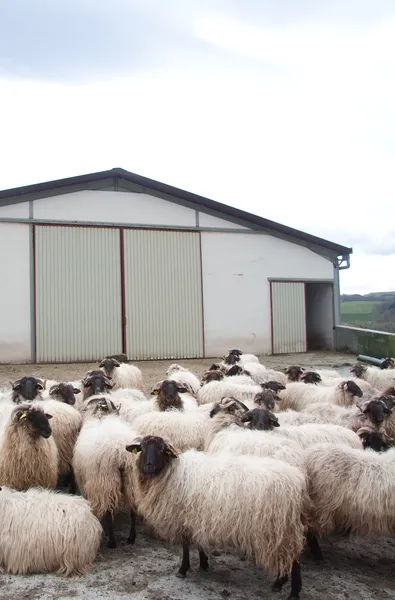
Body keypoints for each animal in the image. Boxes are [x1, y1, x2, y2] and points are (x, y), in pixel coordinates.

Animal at [72, 404, 138, 548]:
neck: (100, 417)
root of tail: (120, 454)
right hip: (132, 481)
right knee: (133, 509)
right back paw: (131, 537)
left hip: (105, 482)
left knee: (108, 510)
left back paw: (111, 540)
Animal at [125, 434, 308, 596]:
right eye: (142, 448)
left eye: (161, 450)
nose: (148, 467)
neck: (173, 473)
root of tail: (297, 482)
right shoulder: (197, 518)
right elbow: (198, 541)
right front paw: (203, 563)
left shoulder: (183, 517)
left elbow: (185, 545)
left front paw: (183, 569)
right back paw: (281, 583)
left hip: (281, 528)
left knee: (294, 560)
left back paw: (292, 591)